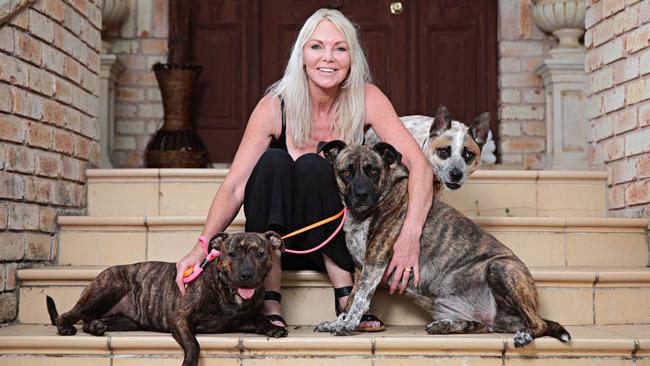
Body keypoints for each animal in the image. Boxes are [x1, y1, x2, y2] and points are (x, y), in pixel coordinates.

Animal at [46, 232, 288, 366]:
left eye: (260, 254)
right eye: (233, 254)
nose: (246, 275)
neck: (229, 291)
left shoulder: (240, 321)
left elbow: (260, 318)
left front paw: (273, 327)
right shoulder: (180, 318)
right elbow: (193, 344)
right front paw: (189, 362)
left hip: (127, 320)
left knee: (90, 320)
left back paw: (96, 327)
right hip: (108, 289)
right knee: (71, 314)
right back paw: (66, 326)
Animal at [312, 141, 568, 348]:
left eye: (373, 171)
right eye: (346, 172)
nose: (362, 195)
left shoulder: (375, 261)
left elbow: (360, 299)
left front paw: (347, 325)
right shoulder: (360, 268)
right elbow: (350, 299)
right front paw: (337, 322)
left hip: (501, 268)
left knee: (540, 324)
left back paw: (525, 334)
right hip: (450, 307)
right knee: (483, 326)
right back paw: (446, 326)